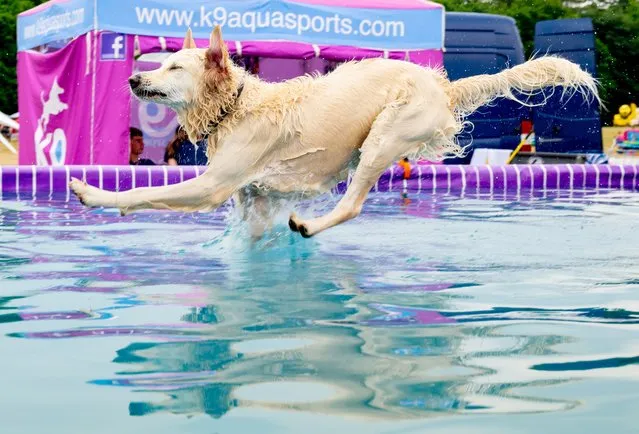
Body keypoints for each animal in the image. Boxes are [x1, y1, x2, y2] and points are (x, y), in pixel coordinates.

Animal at [70, 26, 600, 239]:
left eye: (175, 67)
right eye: (161, 62)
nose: (132, 79)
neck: (236, 107)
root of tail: (443, 86)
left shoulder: (211, 185)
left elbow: (140, 192)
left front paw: (93, 194)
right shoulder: (252, 194)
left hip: (385, 137)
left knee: (353, 205)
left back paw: (310, 226)